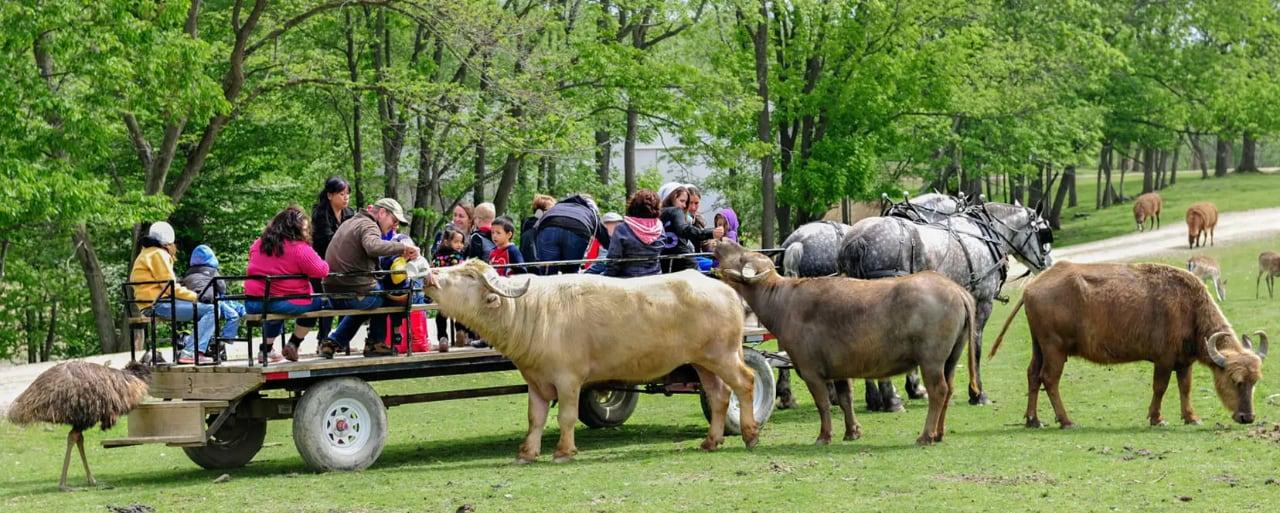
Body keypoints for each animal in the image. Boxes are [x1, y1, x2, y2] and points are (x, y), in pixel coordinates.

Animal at [716, 240, 972, 442]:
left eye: (742, 256)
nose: (720, 241)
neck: (784, 301)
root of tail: (956, 290)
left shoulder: (810, 371)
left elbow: (823, 404)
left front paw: (824, 435)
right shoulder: (839, 370)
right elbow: (845, 399)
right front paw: (852, 432)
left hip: (931, 360)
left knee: (938, 391)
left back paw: (926, 435)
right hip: (951, 358)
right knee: (949, 389)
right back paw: (939, 433)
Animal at [839, 202, 1049, 406]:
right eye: (1043, 233)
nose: (1047, 265)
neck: (986, 236)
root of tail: (858, 238)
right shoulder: (982, 302)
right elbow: (976, 346)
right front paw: (977, 394)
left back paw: (874, 398)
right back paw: (891, 399)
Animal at [983, 262, 1264, 424]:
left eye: (1255, 382)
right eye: (1235, 381)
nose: (1247, 417)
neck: (1189, 307)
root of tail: (1031, 287)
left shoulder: (1184, 362)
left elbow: (1185, 388)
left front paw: (1191, 417)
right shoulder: (1163, 360)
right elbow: (1160, 388)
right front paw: (1156, 418)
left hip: (1038, 347)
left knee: (1032, 375)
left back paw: (1033, 419)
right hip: (1055, 350)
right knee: (1049, 379)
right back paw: (1065, 420)